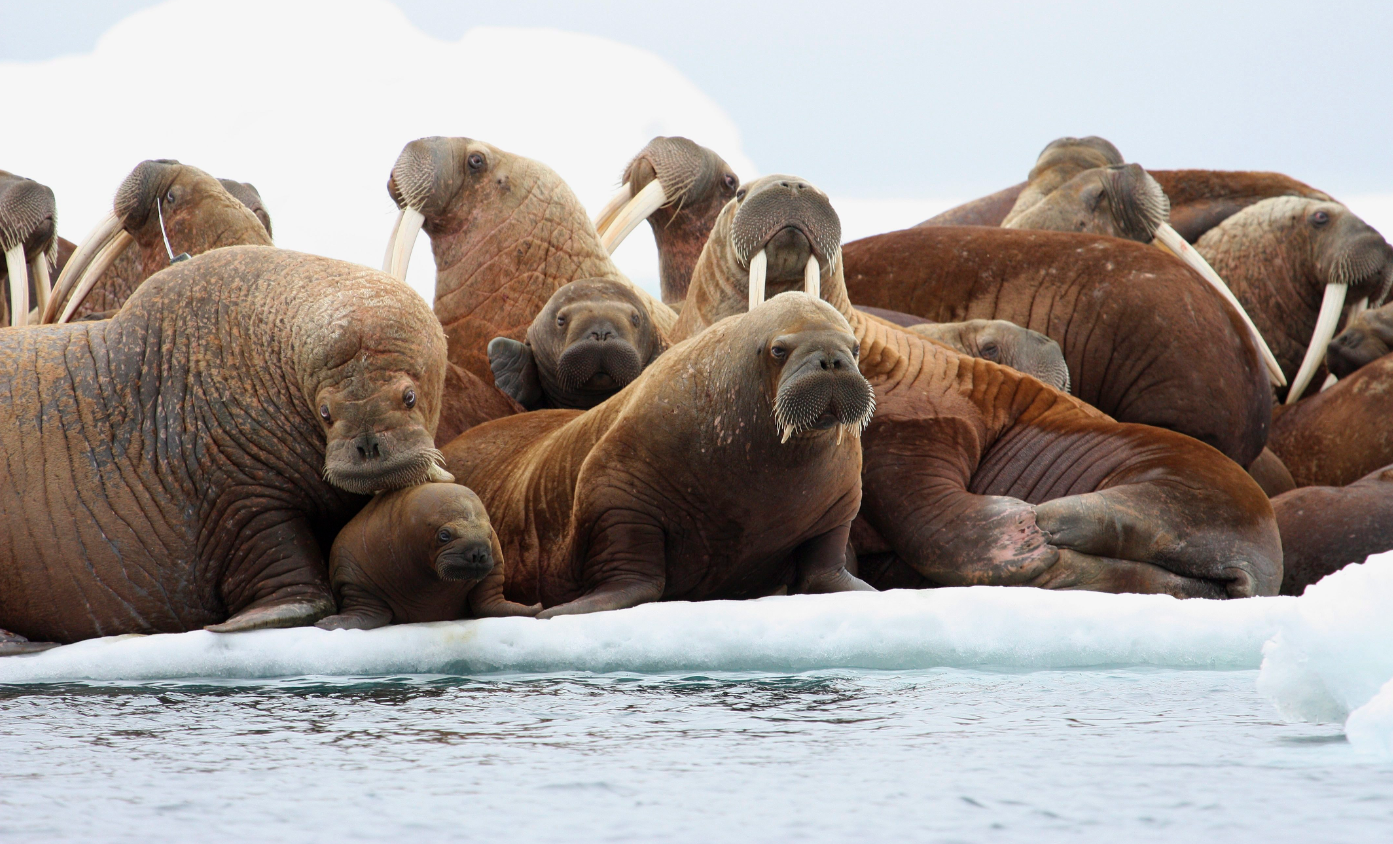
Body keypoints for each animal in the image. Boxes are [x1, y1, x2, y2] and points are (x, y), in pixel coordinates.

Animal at [318, 481, 540, 629]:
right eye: (444, 535)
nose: (477, 552)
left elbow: (490, 603)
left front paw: (535, 608)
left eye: (489, 534)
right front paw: (328, 622)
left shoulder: (495, 572)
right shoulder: (351, 576)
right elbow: (368, 609)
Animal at [440, 293, 874, 618]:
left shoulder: (839, 507)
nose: (831, 358)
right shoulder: (615, 486)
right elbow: (635, 568)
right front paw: (552, 611)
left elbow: (825, 567)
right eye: (779, 349)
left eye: (854, 347)